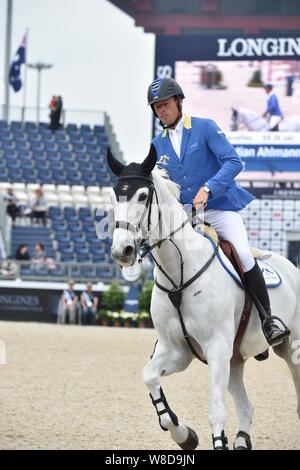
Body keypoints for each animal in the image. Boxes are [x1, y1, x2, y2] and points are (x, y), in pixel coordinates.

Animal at [106, 145, 300, 450]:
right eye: (114, 196)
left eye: (142, 196)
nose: (121, 251)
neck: (179, 274)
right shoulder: (177, 350)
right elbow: (150, 378)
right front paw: (185, 435)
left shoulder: (217, 347)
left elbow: (216, 410)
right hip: (235, 359)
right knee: (246, 406)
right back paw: (242, 440)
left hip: (290, 349)